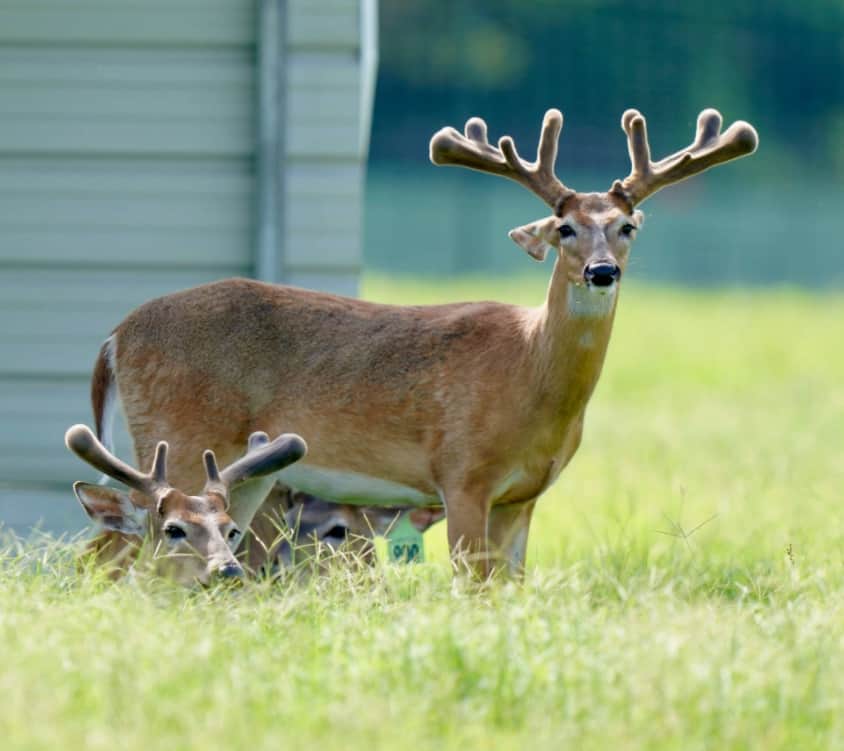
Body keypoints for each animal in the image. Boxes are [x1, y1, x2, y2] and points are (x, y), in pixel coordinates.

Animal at [86, 107, 757, 577]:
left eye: (627, 227)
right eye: (564, 227)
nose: (601, 271)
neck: (530, 375)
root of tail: (115, 336)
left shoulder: (523, 497)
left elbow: (509, 589)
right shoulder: (461, 475)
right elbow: (472, 588)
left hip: (238, 476)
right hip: (177, 434)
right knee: (119, 541)